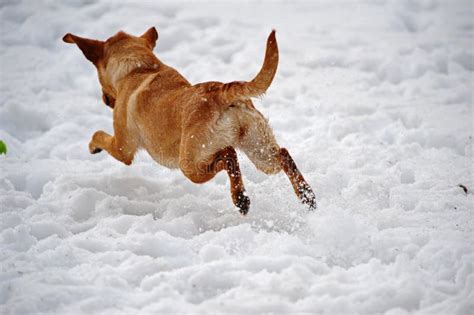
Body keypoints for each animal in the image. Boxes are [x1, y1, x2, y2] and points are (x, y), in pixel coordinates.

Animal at [62, 27, 314, 216]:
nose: (105, 100)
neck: (140, 68)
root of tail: (220, 92)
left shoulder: (123, 148)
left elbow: (99, 134)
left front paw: (92, 146)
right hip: (261, 151)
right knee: (283, 155)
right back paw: (306, 195)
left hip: (191, 164)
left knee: (228, 155)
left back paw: (241, 198)